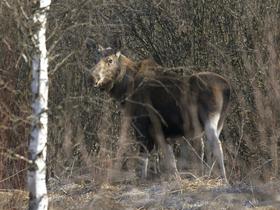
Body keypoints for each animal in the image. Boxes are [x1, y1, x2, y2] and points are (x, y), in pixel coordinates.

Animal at [91, 50, 231, 182]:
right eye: (97, 58)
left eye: (109, 60)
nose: (94, 78)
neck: (127, 88)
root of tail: (227, 88)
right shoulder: (160, 132)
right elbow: (166, 157)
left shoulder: (141, 125)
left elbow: (145, 156)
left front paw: (144, 179)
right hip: (220, 122)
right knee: (208, 147)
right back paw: (208, 175)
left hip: (210, 119)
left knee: (216, 145)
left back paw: (224, 178)